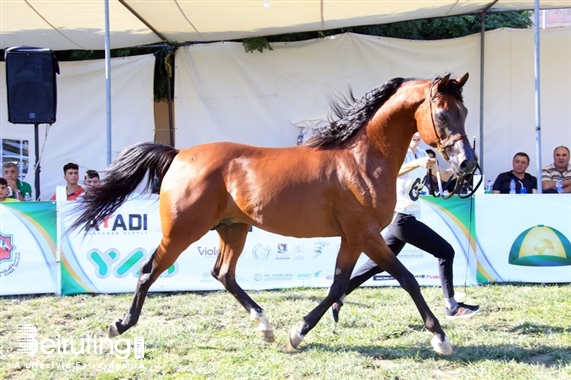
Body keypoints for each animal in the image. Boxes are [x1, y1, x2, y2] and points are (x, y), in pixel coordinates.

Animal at [73, 72, 480, 356]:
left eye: (465, 111)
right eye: (443, 114)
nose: (467, 165)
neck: (362, 159)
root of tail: (178, 154)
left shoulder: (353, 238)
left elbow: (337, 285)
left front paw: (297, 332)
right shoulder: (365, 234)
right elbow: (407, 279)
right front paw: (441, 338)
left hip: (233, 229)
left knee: (223, 274)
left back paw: (265, 325)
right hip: (182, 232)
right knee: (148, 271)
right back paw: (119, 326)